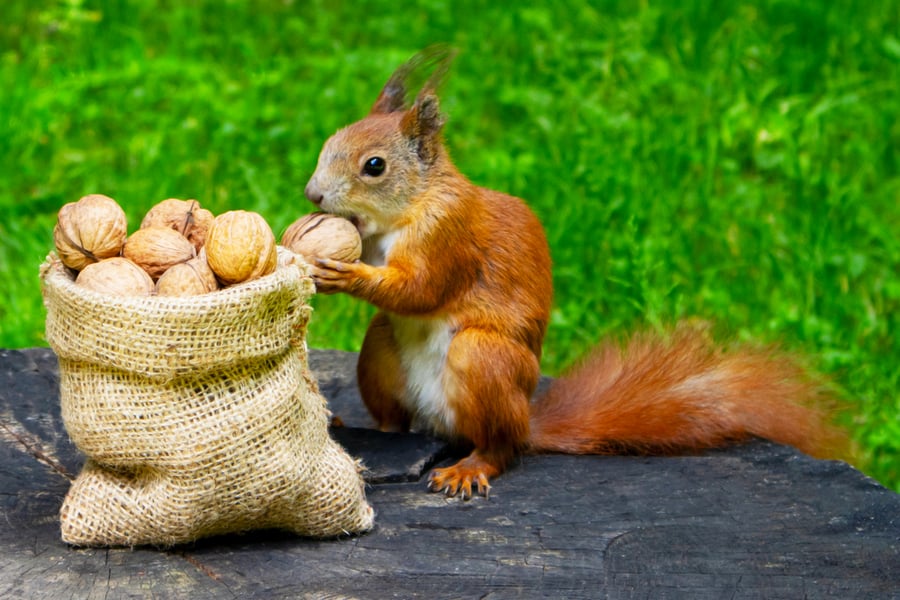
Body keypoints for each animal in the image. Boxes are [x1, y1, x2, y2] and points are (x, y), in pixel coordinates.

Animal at [302, 45, 844, 496]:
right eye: (329, 141)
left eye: (375, 166)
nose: (312, 194)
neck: (406, 210)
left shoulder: (448, 236)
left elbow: (422, 289)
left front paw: (346, 275)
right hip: (380, 351)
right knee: (398, 421)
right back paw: (359, 429)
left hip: (485, 361)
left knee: (501, 447)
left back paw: (470, 467)